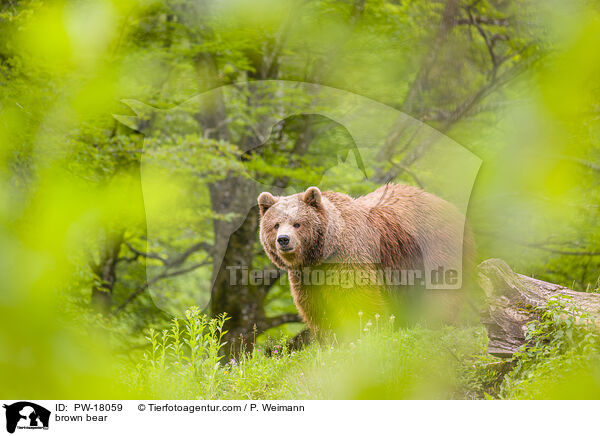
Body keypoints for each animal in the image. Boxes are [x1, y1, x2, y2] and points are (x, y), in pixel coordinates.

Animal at [258, 183, 474, 338]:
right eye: (275, 224)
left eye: (297, 224)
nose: (283, 240)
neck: (323, 255)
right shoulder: (305, 278)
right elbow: (316, 309)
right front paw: (329, 338)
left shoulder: (350, 256)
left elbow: (359, 298)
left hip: (436, 246)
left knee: (442, 290)